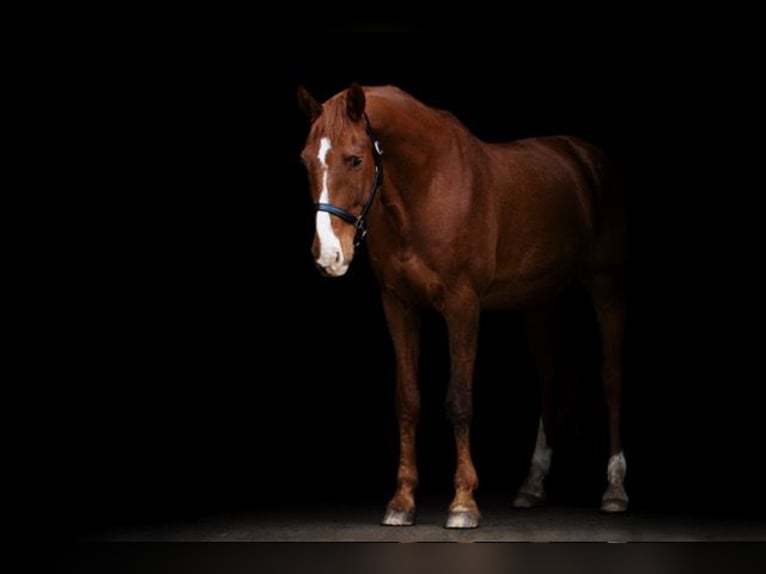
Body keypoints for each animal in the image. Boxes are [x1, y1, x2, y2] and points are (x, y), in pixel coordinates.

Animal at [296, 83, 628, 528]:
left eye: (355, 159)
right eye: (305, 161)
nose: (329, 256)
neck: (427, 188)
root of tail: (585, 157)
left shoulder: (462, 306)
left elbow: (459, 401)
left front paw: (463, 503)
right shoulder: (398, 306)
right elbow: (407, 400)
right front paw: (401, 501)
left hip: (606, 287)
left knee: (610, 377)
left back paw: (614, 489)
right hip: (540, 301)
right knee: (547, 377)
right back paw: (532, 486)